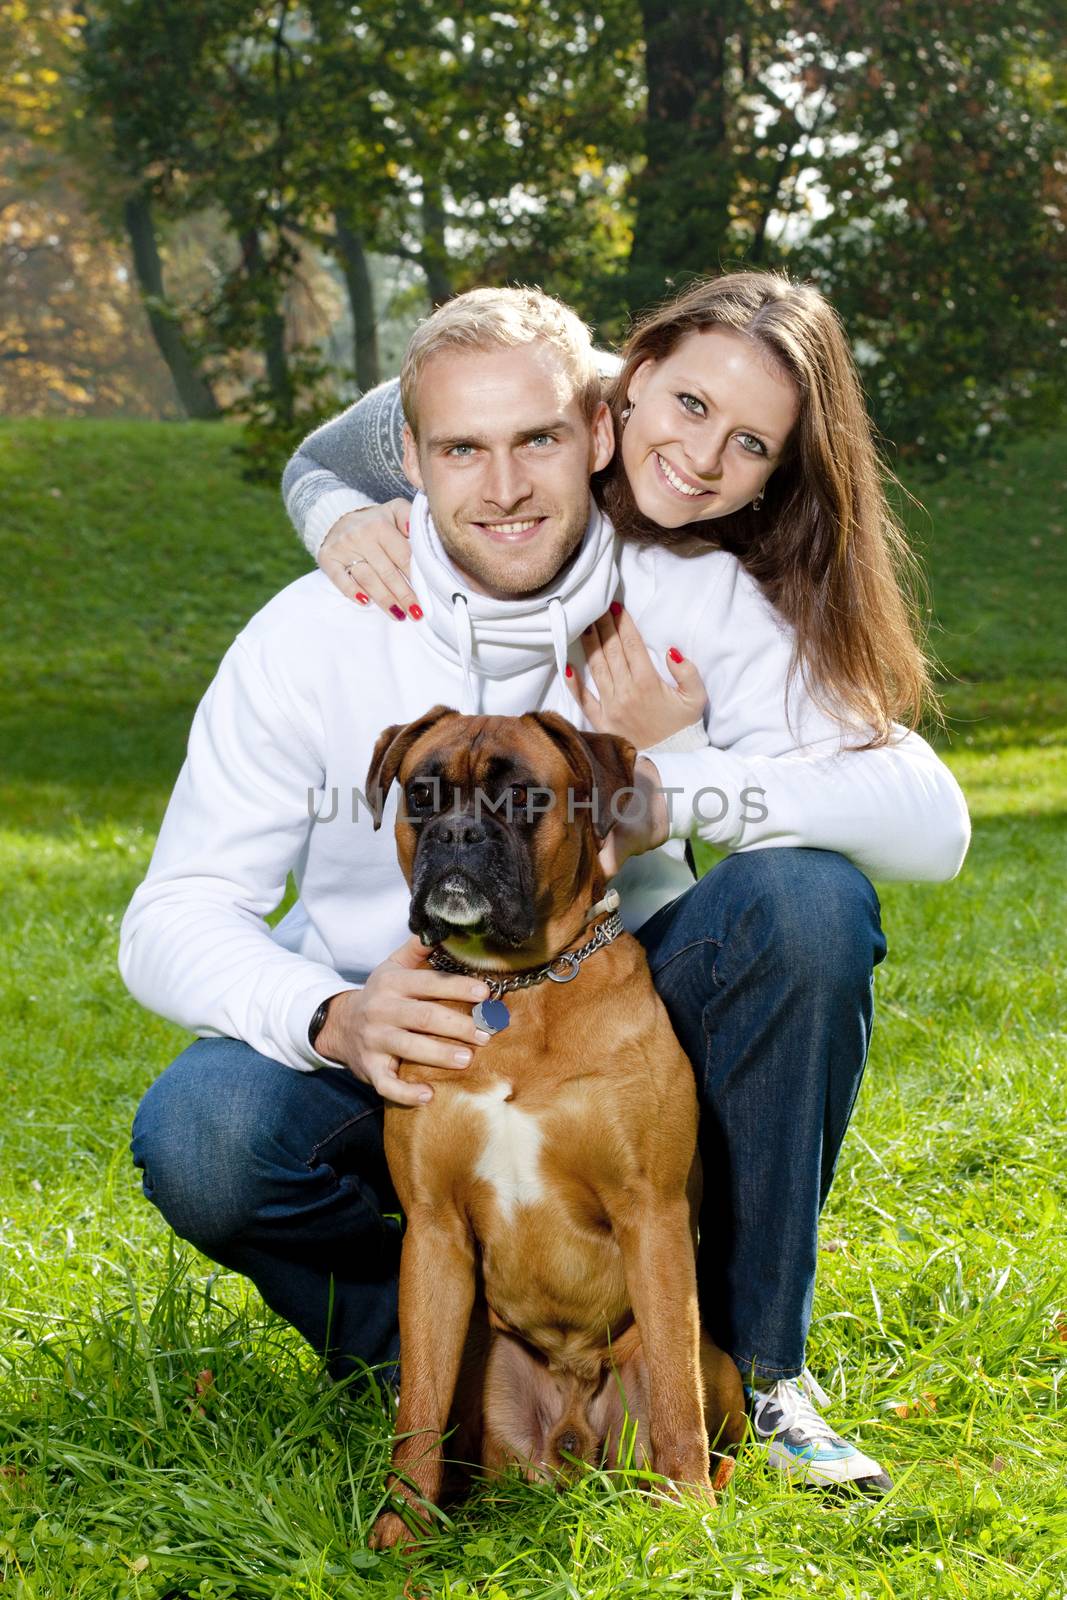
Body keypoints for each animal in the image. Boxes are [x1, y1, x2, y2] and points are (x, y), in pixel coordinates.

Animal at [364, 707, 742, 1542]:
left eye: (523, 797)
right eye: (422, 795)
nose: (457, 833)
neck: (516, 989)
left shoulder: (652, 1216)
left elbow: (677, 1396)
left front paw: (688, 1516)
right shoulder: (433, 1234)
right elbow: (417, 1409)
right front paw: (399, 1534)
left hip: (718, 1364)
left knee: (709, 1422)